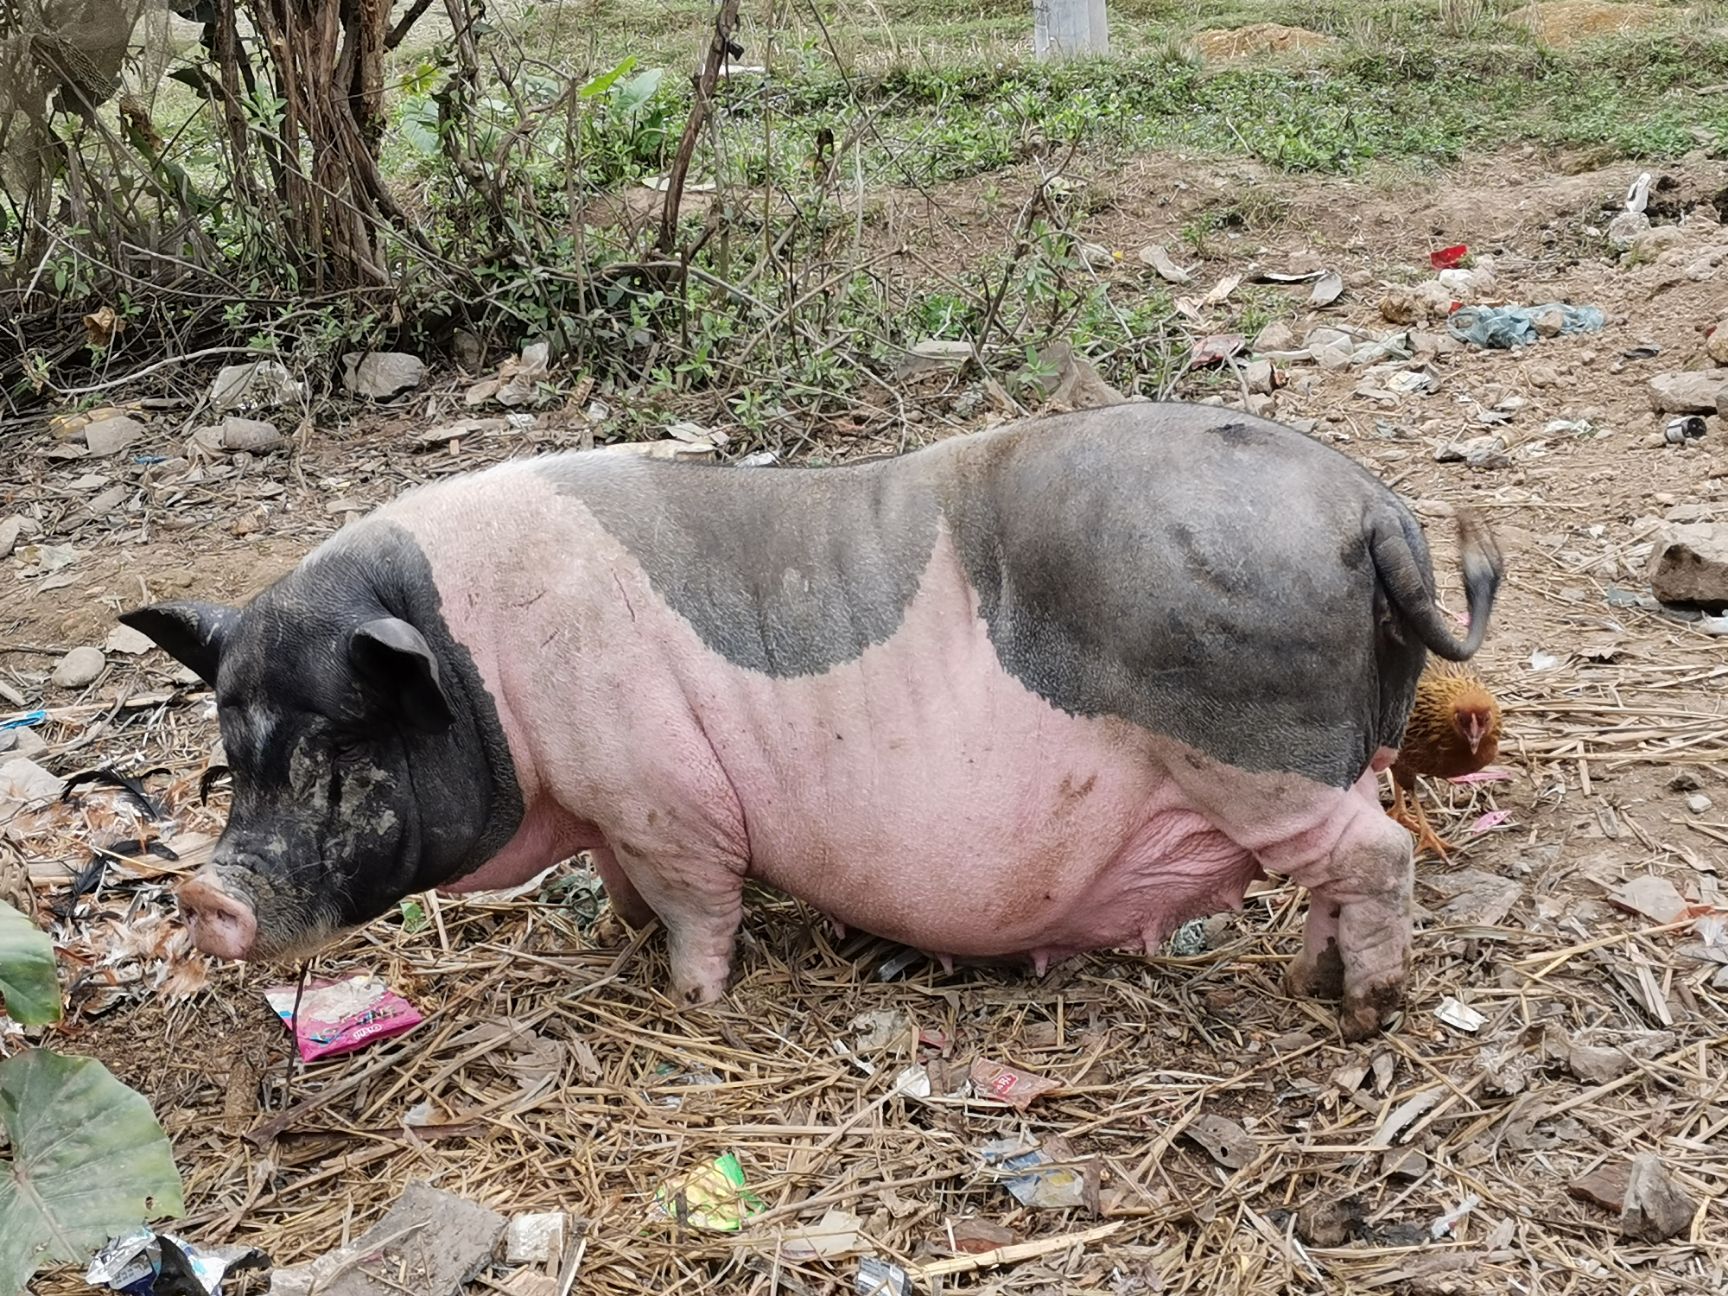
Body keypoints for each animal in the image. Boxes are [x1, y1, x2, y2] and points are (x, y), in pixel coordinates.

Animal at [121, 400, 1499, 1043]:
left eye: (341, 757)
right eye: (227, 762)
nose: (201, 894)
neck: (482, 673)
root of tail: (1369, 503)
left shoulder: (661, 793)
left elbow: (696, 900)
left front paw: (690, 1002)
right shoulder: (614, 808)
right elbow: (623, 885)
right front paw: (617, 939)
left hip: (1255, 758)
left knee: (1379, 856)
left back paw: (1361, 1010)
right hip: (1323, 763)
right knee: (1343, 867)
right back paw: (1315, 979)